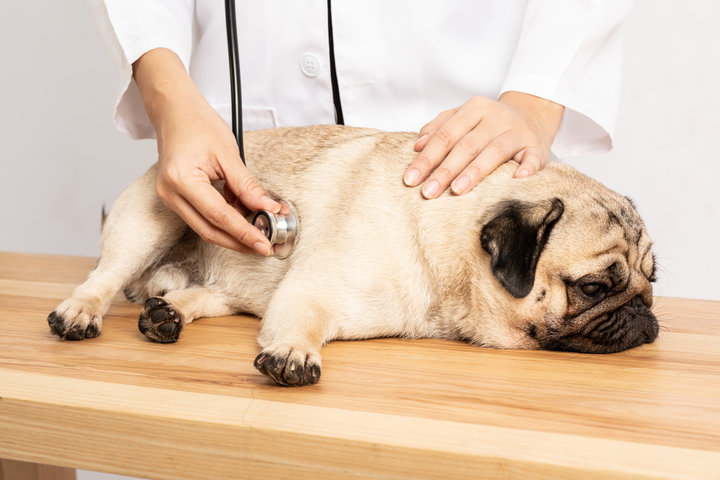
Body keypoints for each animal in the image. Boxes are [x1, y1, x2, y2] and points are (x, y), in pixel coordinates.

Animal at [46, 124, 660, 386]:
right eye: (593, 288)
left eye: (651, 282)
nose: (643, 313)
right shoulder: (311, 292)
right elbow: (297, 326)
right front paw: (294, 352)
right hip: (152, 219)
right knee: (102, 279)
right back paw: (80, 313)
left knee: (208, 294)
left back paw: (168, 313)